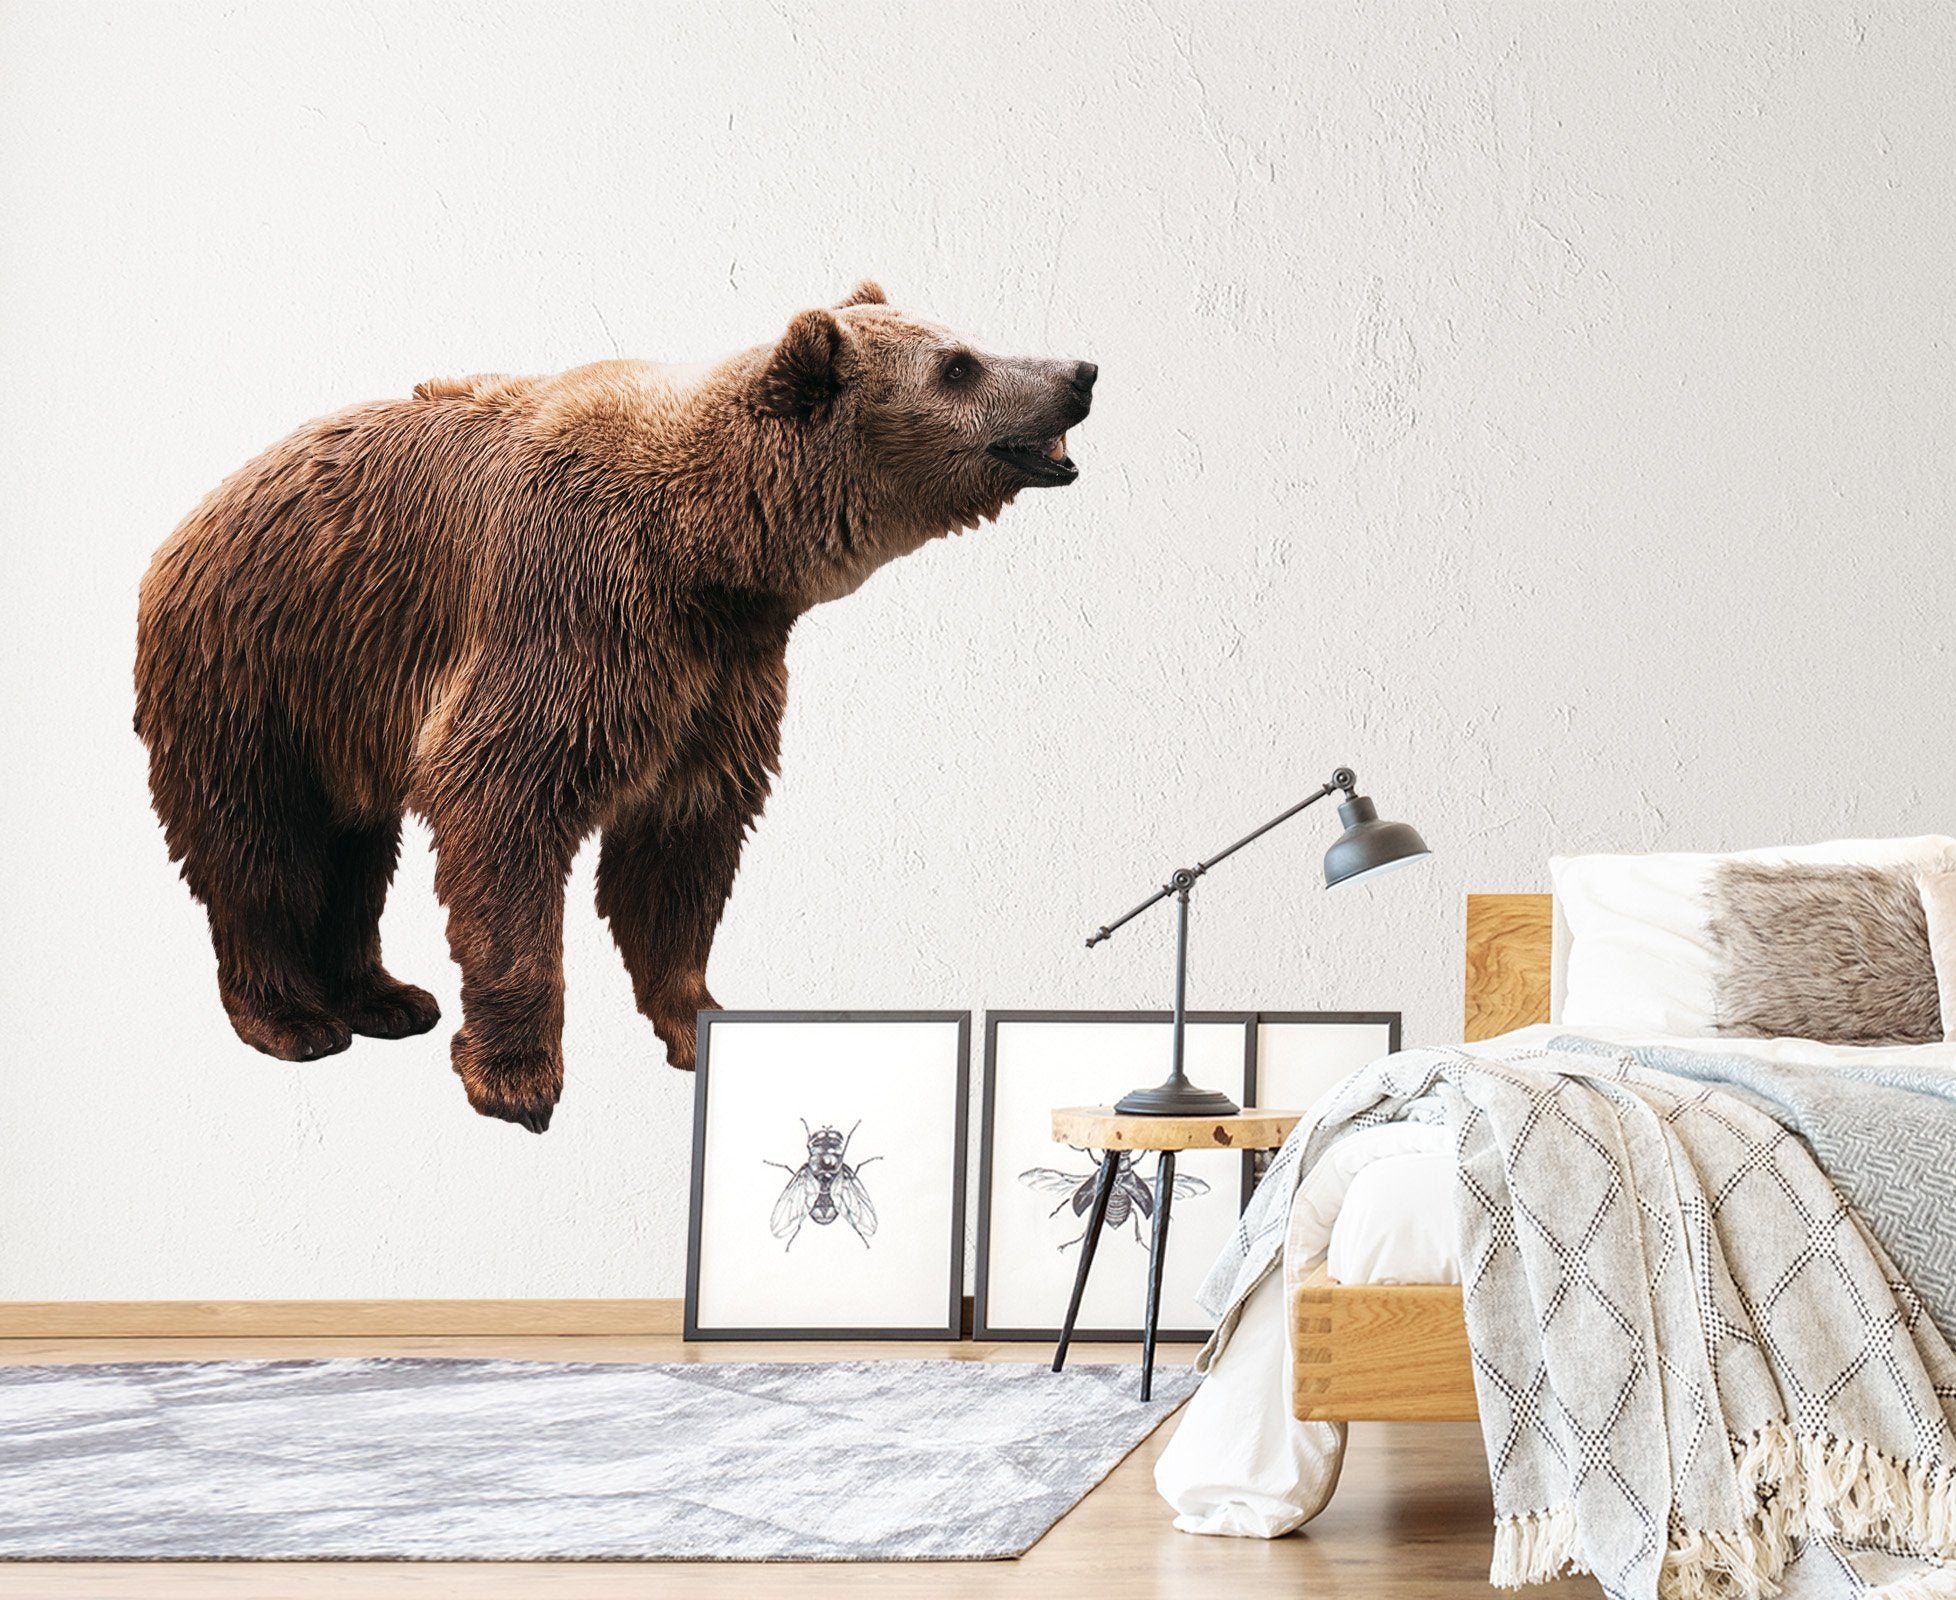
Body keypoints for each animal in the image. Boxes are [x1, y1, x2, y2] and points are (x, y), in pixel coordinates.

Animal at [133, 282, 1095, 1132]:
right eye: (960, 365)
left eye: (968, 338)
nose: (1080, 372)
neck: (710, 558)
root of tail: (194, 513)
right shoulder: (573, 613)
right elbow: (501, 812)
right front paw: (518, 1079)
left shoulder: (714, 684)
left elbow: (680, 854)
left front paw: (700, 1024)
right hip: (261, 667)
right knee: (262, 846)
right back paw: (294, 1018)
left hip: (343, 707)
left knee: (354, 847)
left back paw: (388, 997)